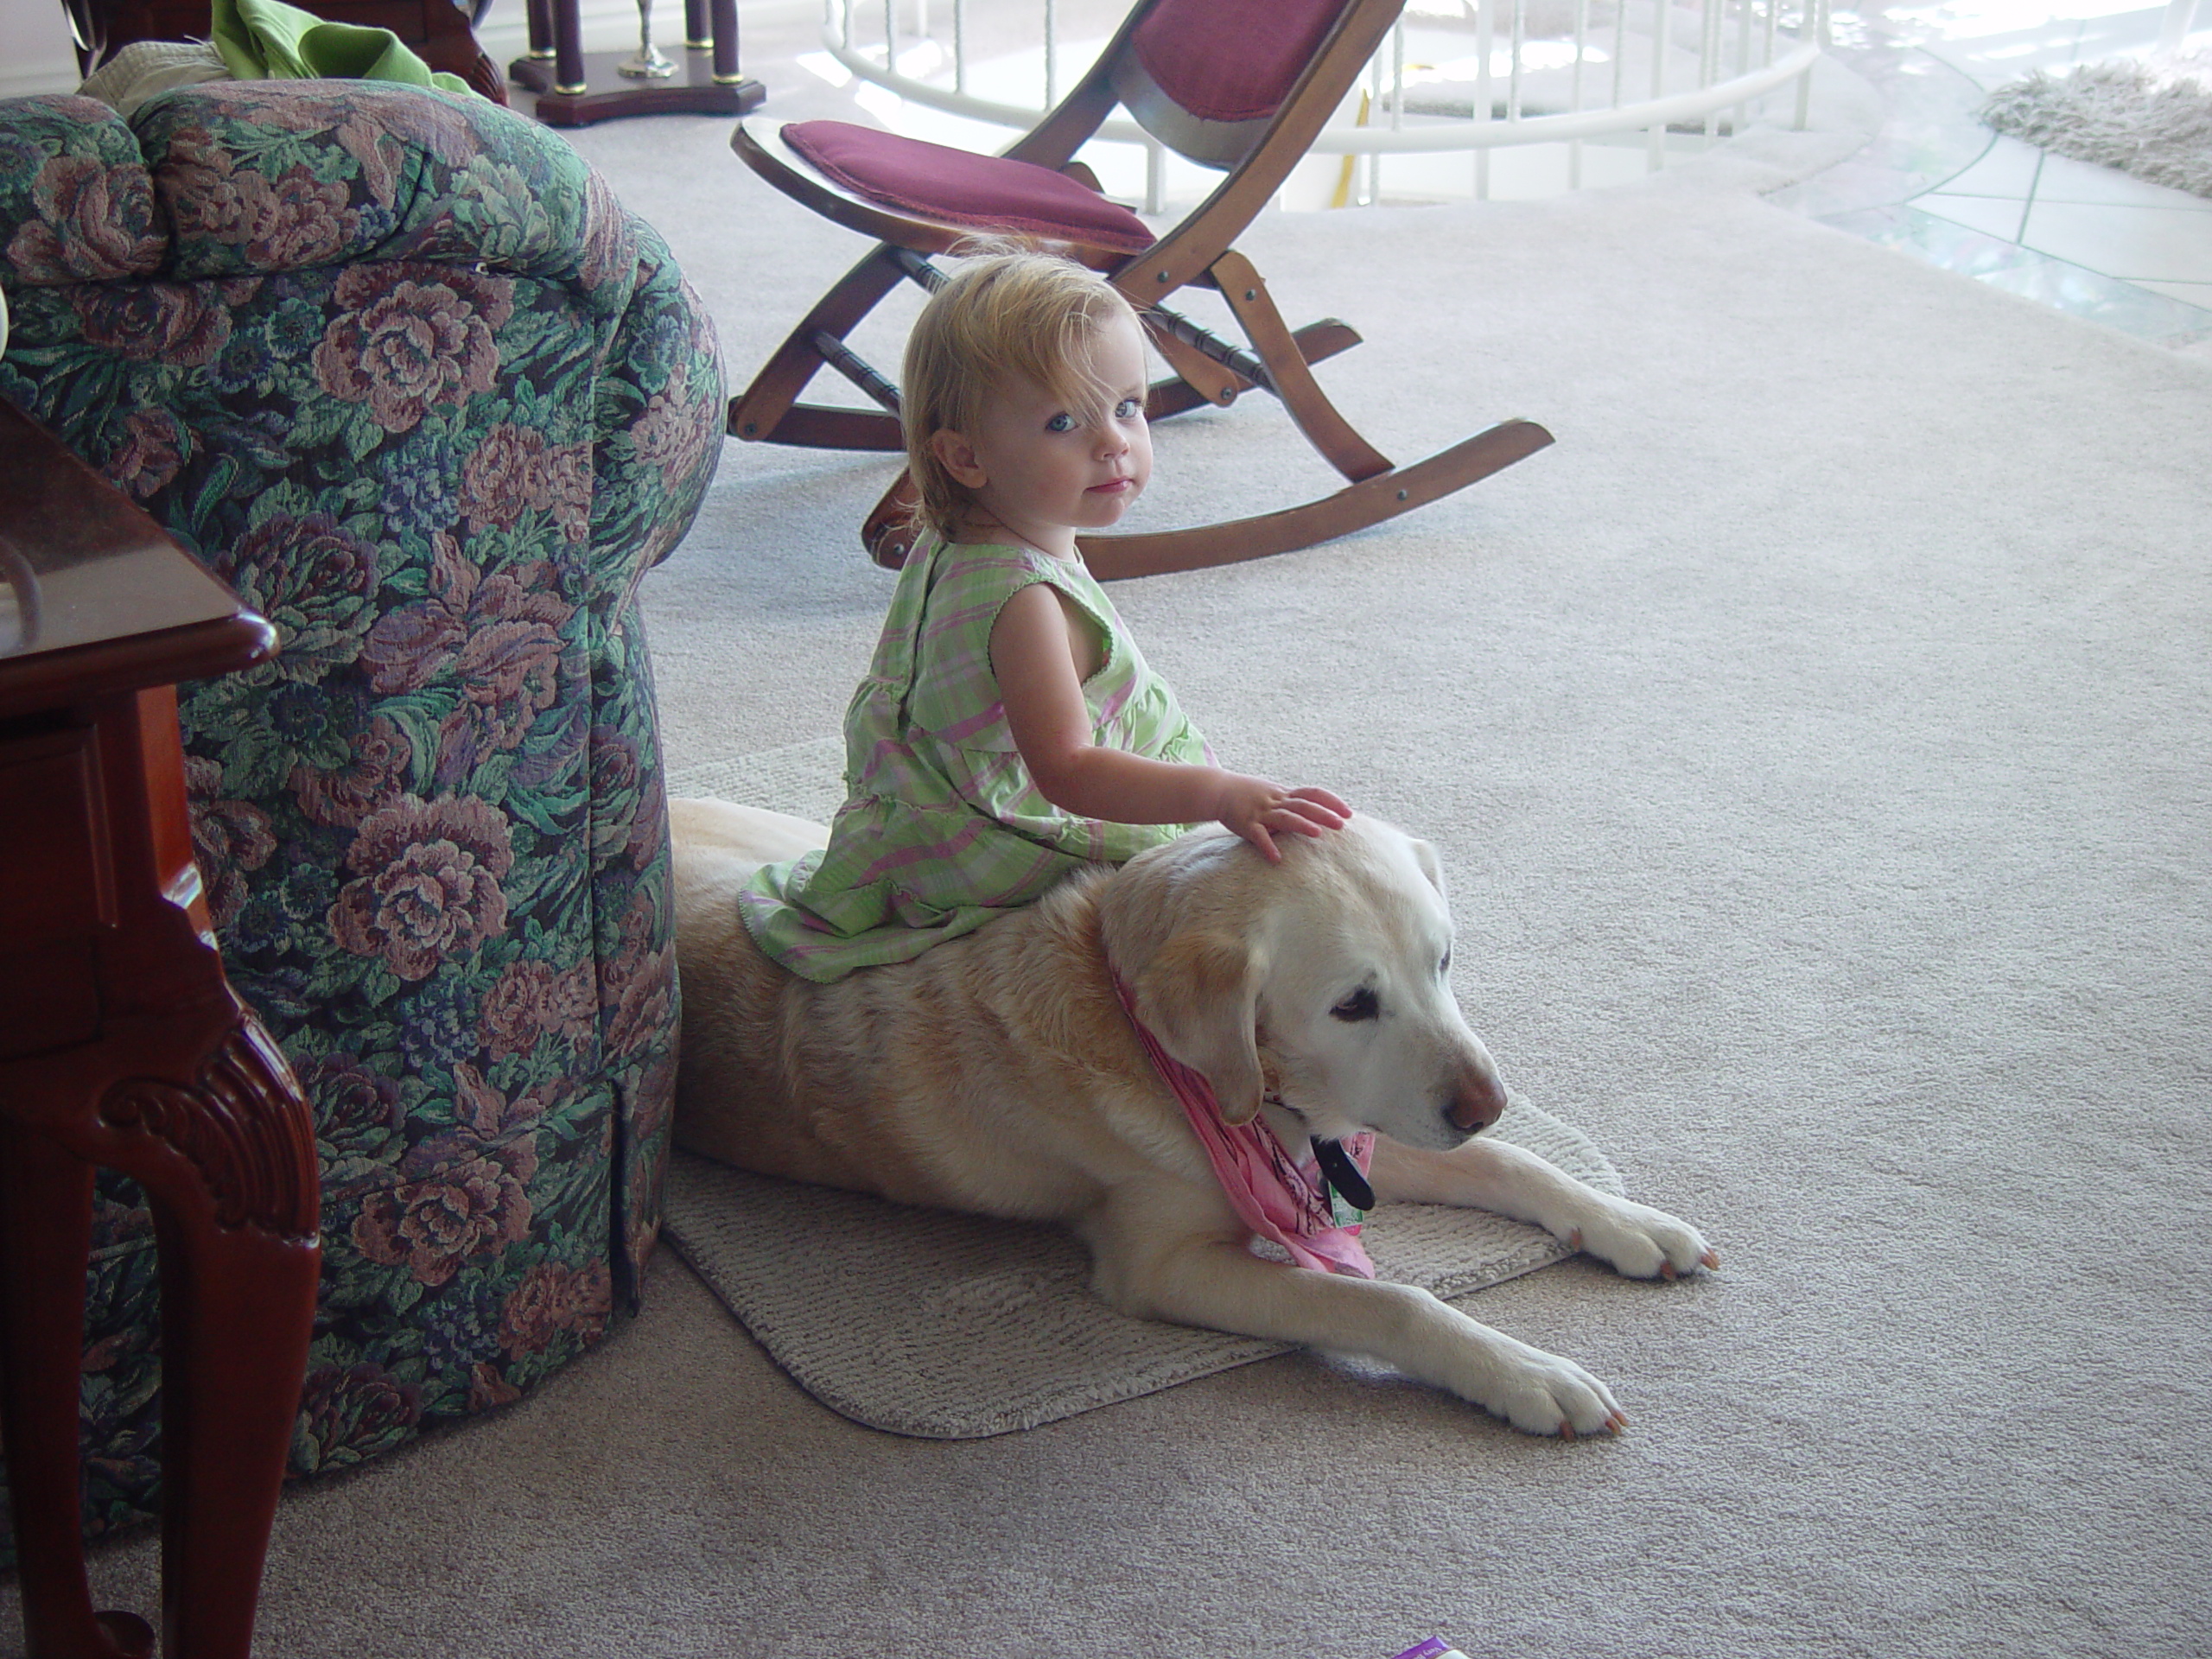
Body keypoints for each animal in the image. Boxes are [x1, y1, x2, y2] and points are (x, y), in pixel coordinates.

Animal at [664, 800, 1716, 1433]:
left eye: (1443, 960)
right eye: (1352, 1004)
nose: (1485, 1103)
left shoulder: (1348, 1125)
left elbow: (1515, 1167)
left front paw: (1628, 1222)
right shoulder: (1163, 1264)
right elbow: (1387, 1301)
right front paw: (1527, 1375)